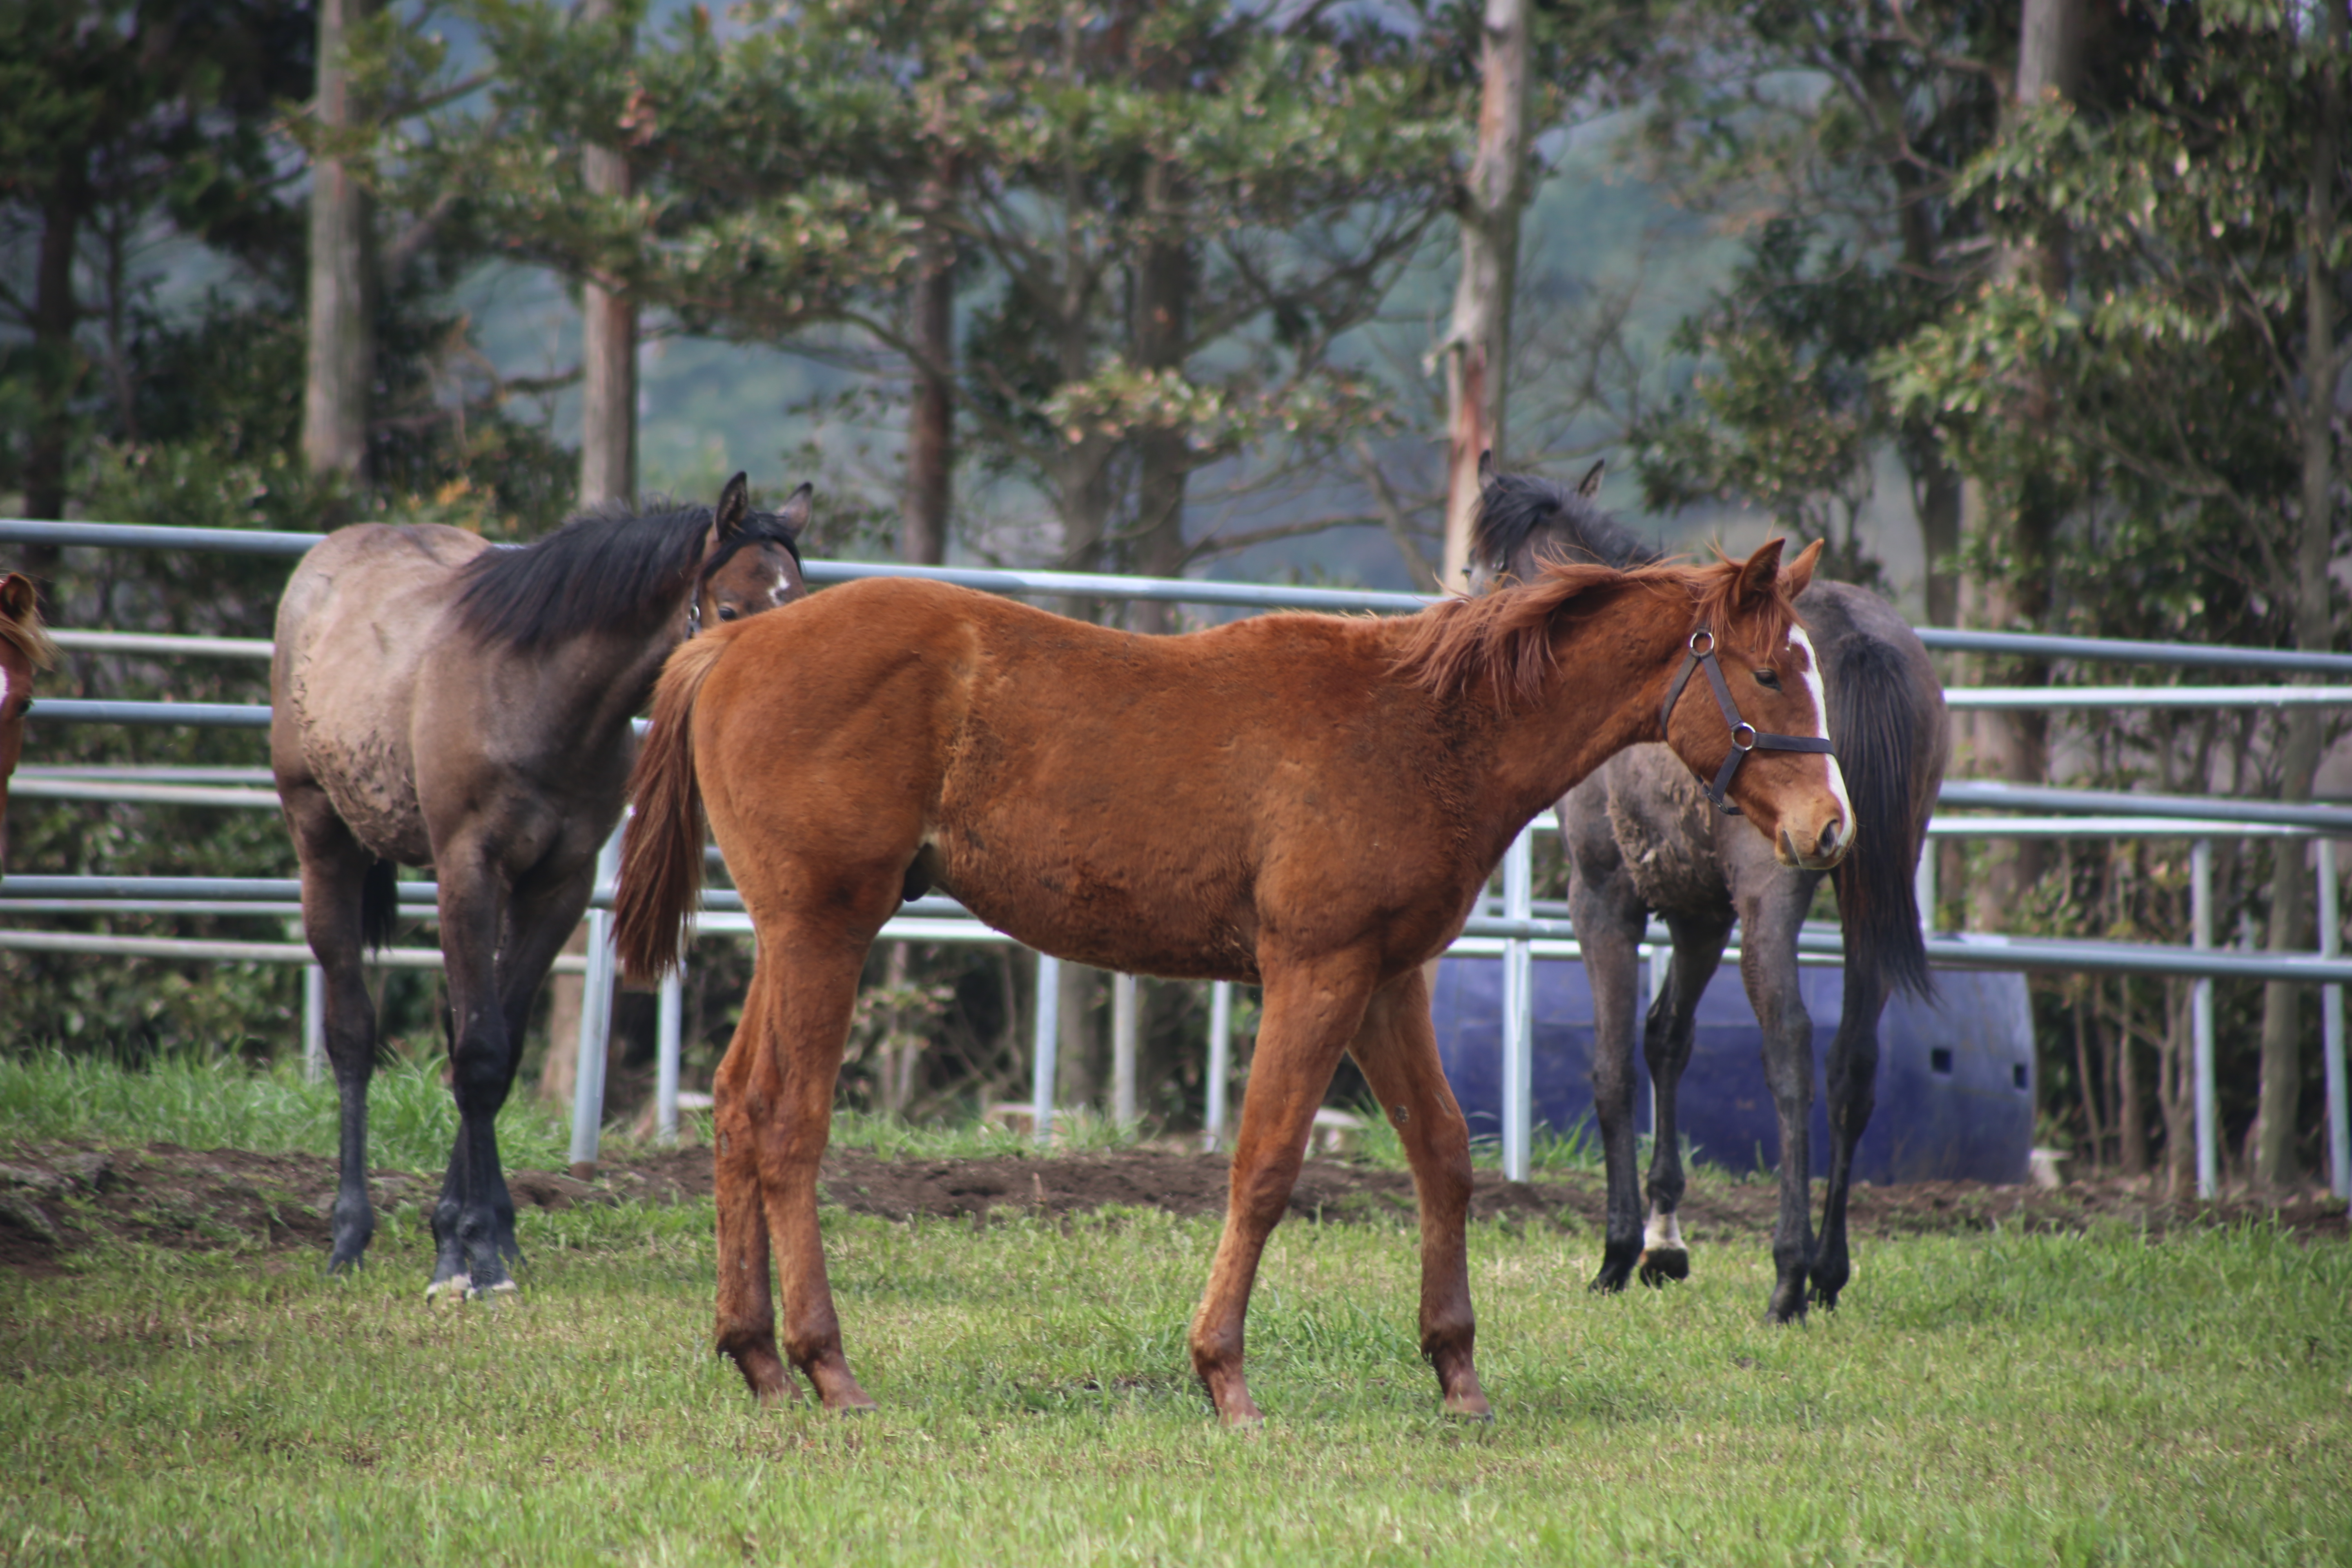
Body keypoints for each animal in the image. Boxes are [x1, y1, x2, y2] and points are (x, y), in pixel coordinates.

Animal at [270, 474, 809, 1297]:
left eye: (801, 598)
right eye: (731, 608)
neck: (537, 694)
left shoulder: (560, 887)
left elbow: (497, 1051)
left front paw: (480, 1237)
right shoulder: (470, 871)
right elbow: (480, 1056)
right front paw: (470, 1259)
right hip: (323, 843)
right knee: (353, 1035)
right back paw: (349, 1236)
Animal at [616, 545, 1844, 1429]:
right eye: (1769, 671)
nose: (1831, 830)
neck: (1422, 727)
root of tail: (733, 645)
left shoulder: (1387, 982)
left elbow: (1443, 1157)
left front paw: (1456, 1373)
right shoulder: (1315, 970)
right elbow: (1263, 1166)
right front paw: (1224, 1376)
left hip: (794, 937)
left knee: (738, 1109)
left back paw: (757, 1357)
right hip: (824, 929)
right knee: (790, 1125)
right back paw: (827, 1367)